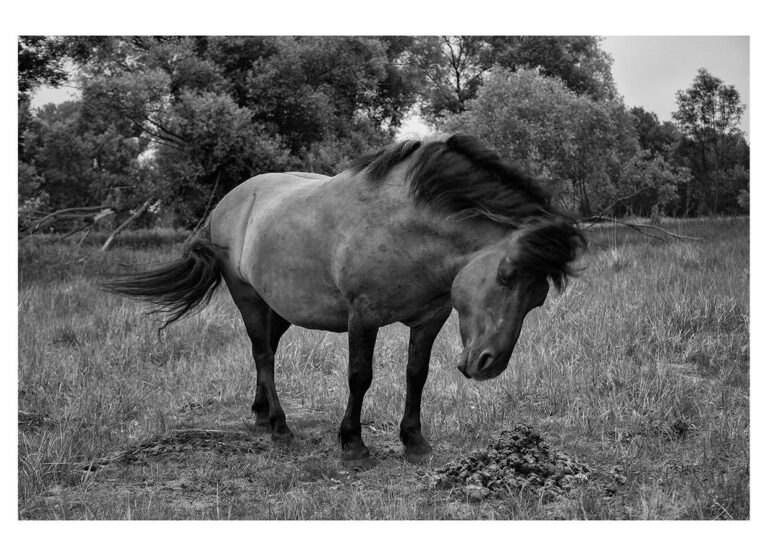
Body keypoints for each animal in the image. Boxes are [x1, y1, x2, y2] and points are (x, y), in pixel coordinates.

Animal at [106, 133, 584, 466]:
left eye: (538, 298)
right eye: (505, 276)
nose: (488, 364)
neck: (407, 227)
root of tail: (228, 202)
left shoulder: (431, 318)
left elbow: (417, 375)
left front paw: (415, 441)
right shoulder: (363, 316)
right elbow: (360, 376)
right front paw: (353, 444)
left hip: (279, 305)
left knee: (266, 352)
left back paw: (261, 415)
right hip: (248, 299)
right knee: (263, 354)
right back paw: (279, 427)